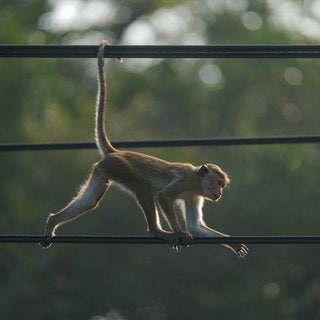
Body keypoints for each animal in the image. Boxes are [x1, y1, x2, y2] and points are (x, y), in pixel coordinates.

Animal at [40, 40, 249, 258]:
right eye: (218, 183)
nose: (219, 192)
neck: (197, 181)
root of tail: (116, 152)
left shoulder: (195, 195)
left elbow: (195, 226)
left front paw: (233, 243)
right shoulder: (186, 181)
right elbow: (163, 197)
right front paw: (180, 232)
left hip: (105, 169)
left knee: (90, 201)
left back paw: (53, 221)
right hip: (121, 166)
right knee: (143, 187)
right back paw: (157, 231)